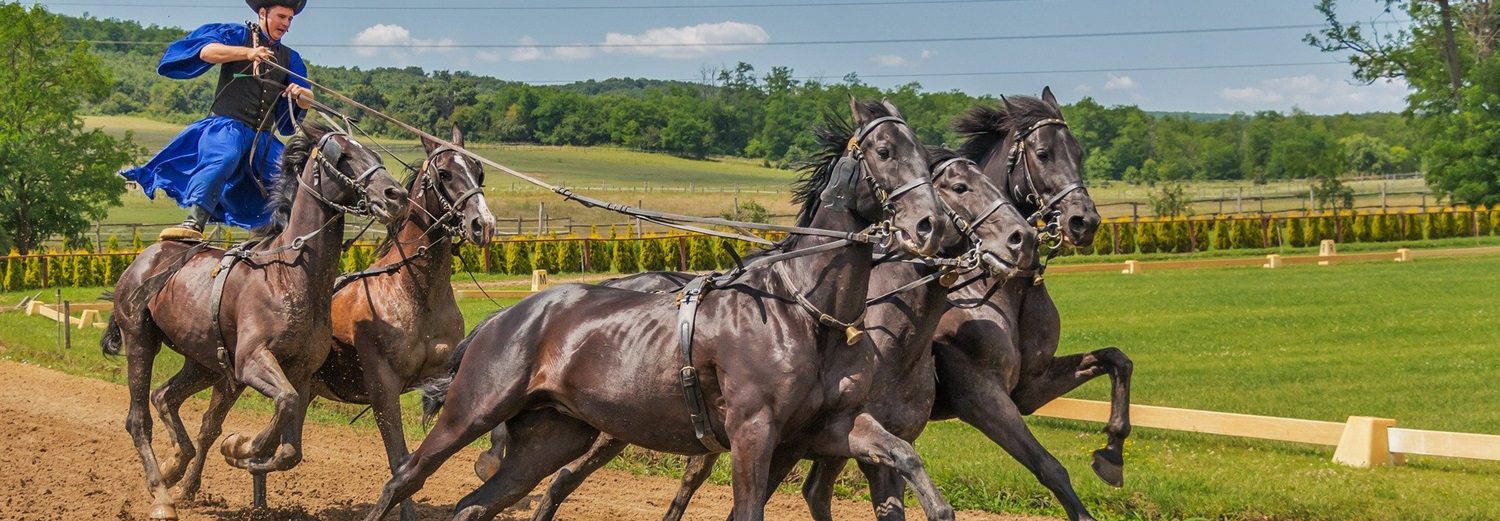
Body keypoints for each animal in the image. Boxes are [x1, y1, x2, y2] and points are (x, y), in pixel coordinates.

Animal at [102, 123, 408, 521]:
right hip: (140, 340)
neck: (288, 274)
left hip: (205, 362)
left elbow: (290, 447)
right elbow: (285, 404)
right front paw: (243, 446)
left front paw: (244, 449)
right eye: (343, 156)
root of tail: (143, 259)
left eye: (374, 153)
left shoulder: (300, 371)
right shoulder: (251, 361)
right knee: (139, 419)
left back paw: (176, 464)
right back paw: (161, 494)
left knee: (165, 396)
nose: (395, 194)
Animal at [360, 99, 960, 521]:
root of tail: (503, 318)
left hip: (554, 436)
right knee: (405, 476)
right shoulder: (753, 433)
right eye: (884, 152)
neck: (805, 313)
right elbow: (748, 509)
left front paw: (938, 506)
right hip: (473, 410)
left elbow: (902, 454)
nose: (929, 225)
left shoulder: (827, 426)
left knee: (477, 503)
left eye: (926, 156)